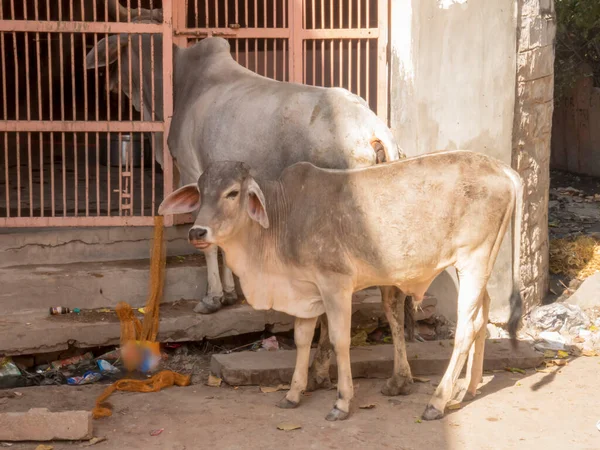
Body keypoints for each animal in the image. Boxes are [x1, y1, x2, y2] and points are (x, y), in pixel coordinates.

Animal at [85, 16, 404, 316]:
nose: (105, 83)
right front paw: (228, 294)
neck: (181, 83)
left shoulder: (192, 171)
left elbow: (210, 243)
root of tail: (375, 128)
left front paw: (212, 298)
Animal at [157, 151, 524, 422]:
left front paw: (341, 402)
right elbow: (302, 340)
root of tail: (505, 170)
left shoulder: (335, 285)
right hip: (477, 267)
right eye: (201, 193)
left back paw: (438, 401)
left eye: (233, 193)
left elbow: (338, 341)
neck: (281, 220)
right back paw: (468, 388)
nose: (197, 232)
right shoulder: (304, 291)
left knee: (466, 328)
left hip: (474, 260)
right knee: (482, 316)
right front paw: (293, 394)